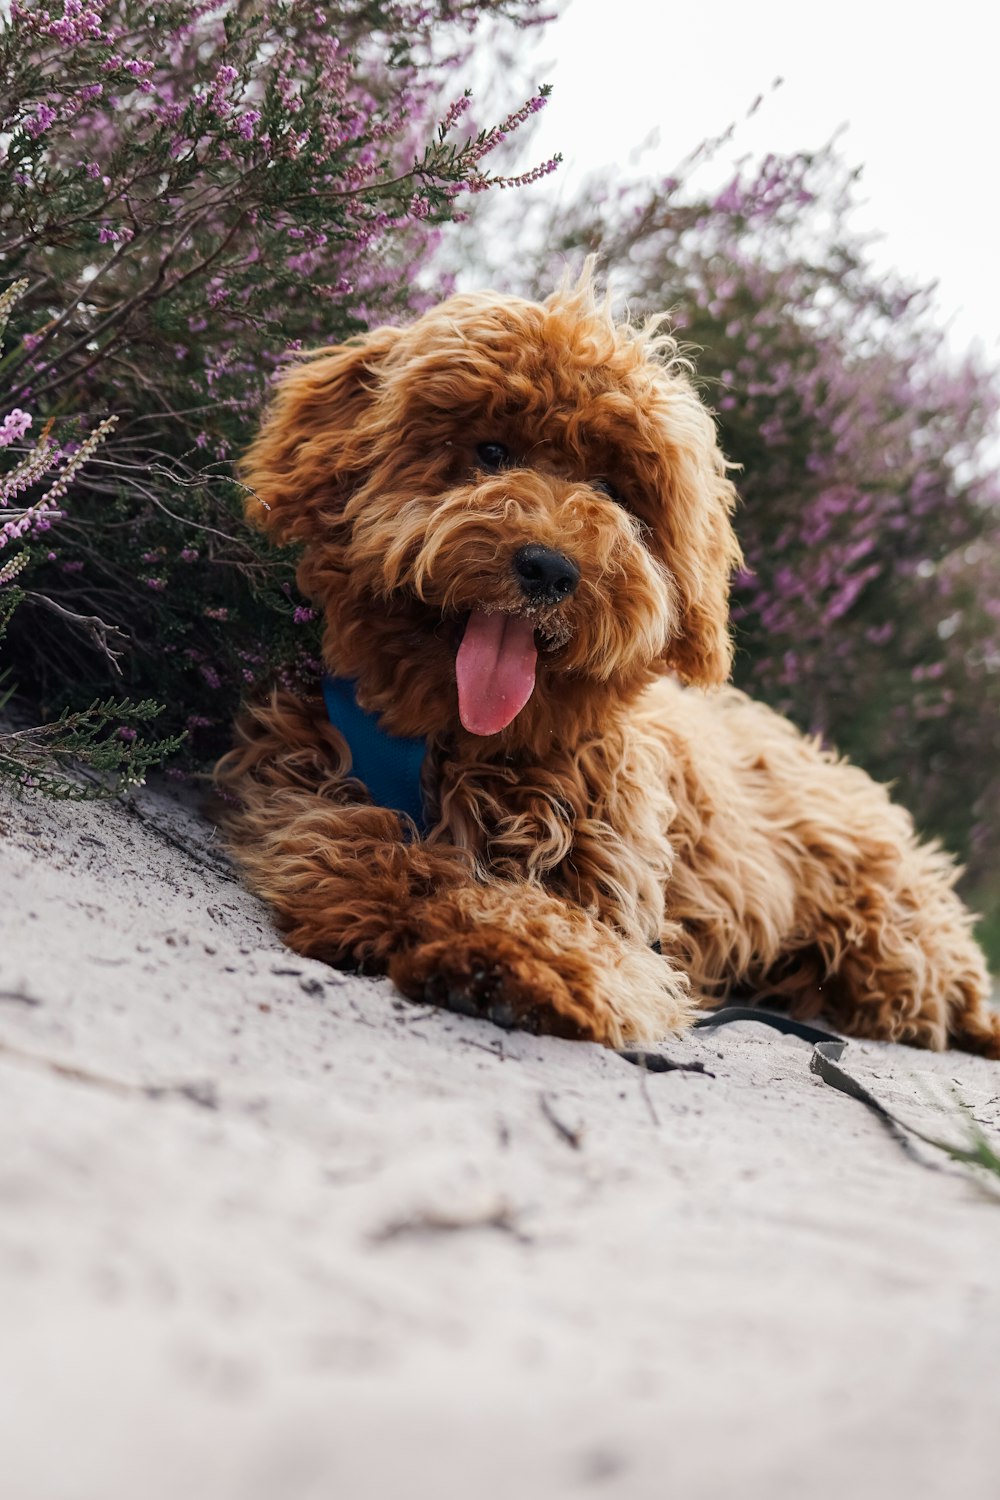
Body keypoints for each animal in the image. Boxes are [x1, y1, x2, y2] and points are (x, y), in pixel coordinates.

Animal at [215, 276, 995, 1062]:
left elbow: (567, 929)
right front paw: (411, 894)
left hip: (888, 946)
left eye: (615, 490)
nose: (548, 568)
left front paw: (502, 955)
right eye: (490, 450)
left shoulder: (616, 893)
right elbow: (346, 840)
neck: (459, 739)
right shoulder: (303, 775)